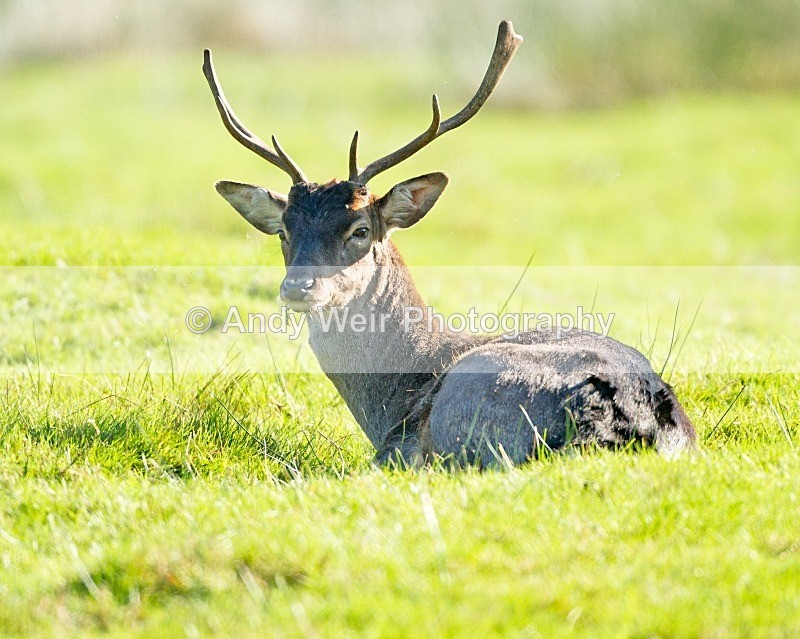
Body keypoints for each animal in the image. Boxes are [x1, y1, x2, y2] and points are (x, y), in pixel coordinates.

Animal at [202, 21, 697, 467]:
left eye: (360, 230)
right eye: (284, 232)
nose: (297, 288)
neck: (394, 396)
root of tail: (634, 418)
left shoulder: (398, 446)